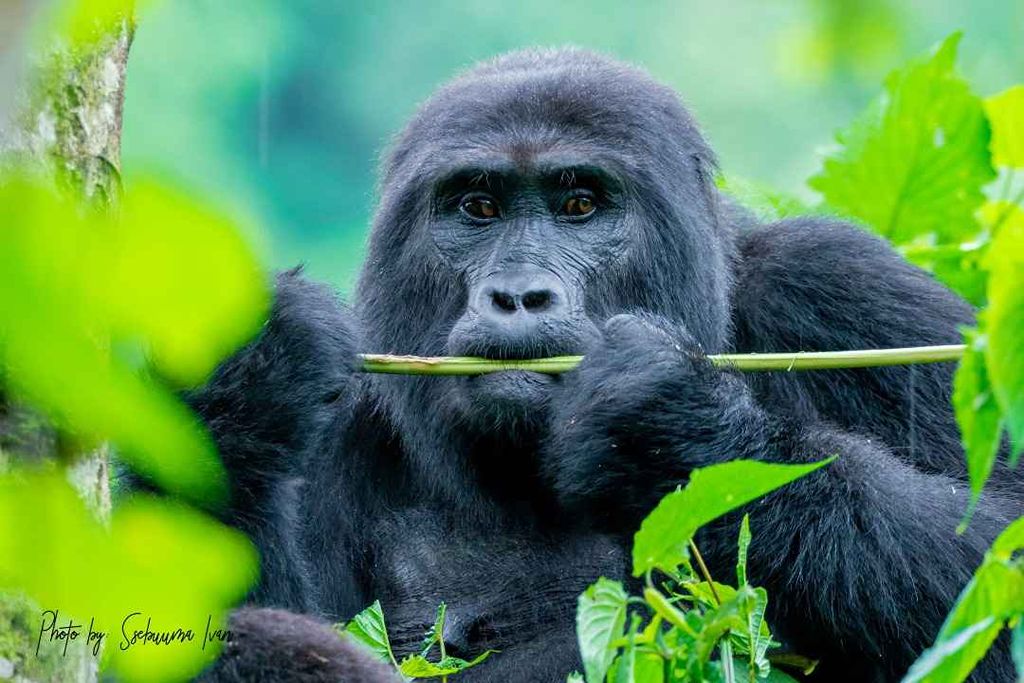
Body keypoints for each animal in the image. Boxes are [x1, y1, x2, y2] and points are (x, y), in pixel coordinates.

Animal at [190, 49, 1015, 683]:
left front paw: (672, 430)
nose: (518, 295)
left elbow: (996, 558)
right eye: (478, 207)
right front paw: (254, 377)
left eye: (581, 204)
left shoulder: (845, 290)